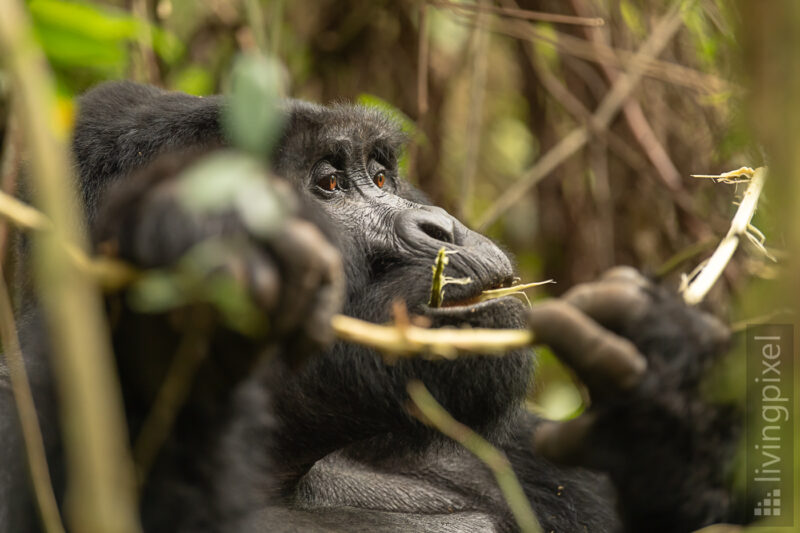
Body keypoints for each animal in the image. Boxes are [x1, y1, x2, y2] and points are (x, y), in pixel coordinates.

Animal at [0, 81, 736, 528]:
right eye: (328, 185)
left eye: (380, 176)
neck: (299, 462)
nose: (441, 224)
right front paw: (173, 323)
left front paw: (661, 385)